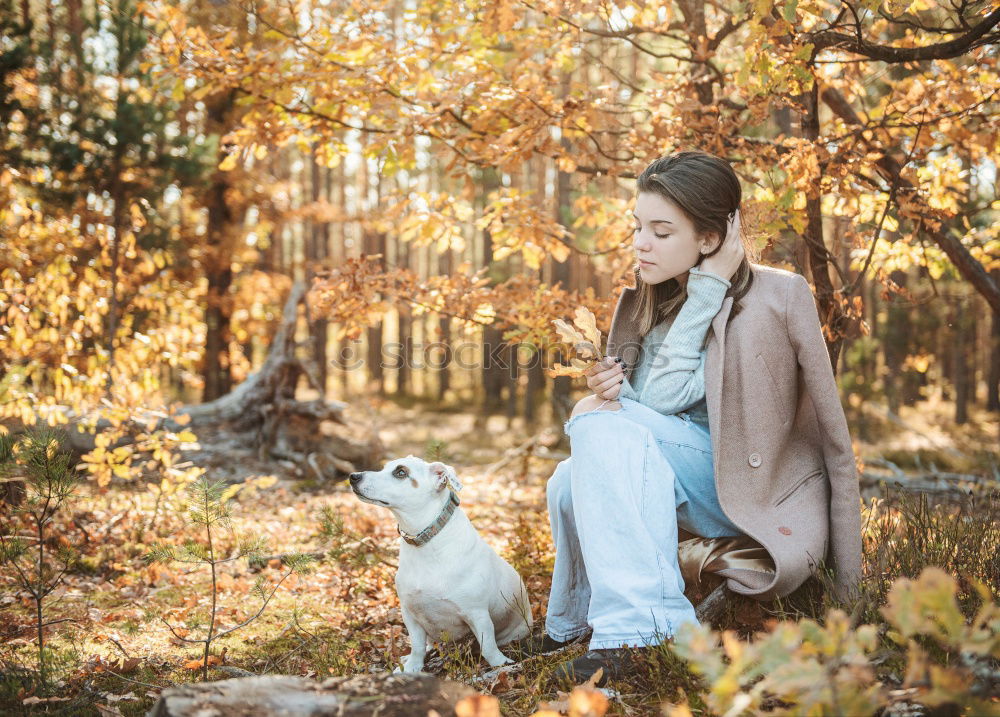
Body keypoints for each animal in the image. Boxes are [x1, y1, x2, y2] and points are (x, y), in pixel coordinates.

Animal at [354, 456, 536, 668]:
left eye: (401, 472)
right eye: (384, 468)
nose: (353, 476)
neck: (426, 545)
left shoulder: (478, 614)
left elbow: (489, 647)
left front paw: (501, 664)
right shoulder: (410, 614)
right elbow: (417, 646)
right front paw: (412, 667)